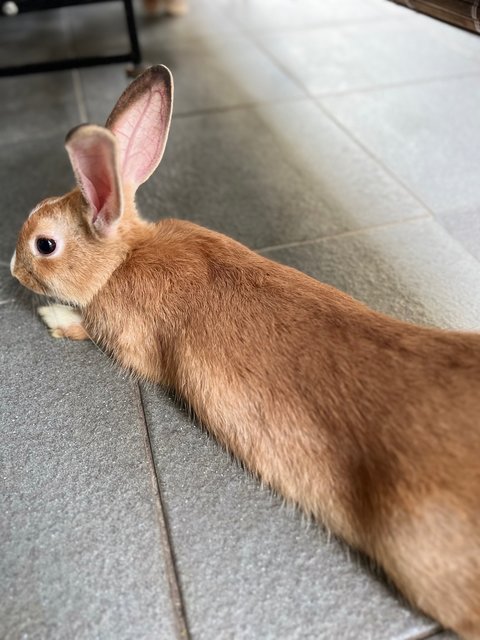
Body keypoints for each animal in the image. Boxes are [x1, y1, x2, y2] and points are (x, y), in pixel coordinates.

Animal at [10, 66, 480, 640]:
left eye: (44, 245)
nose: (11, 269)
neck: (122, 259)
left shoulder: (121, 334)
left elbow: (89, 330)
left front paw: (51, 316)